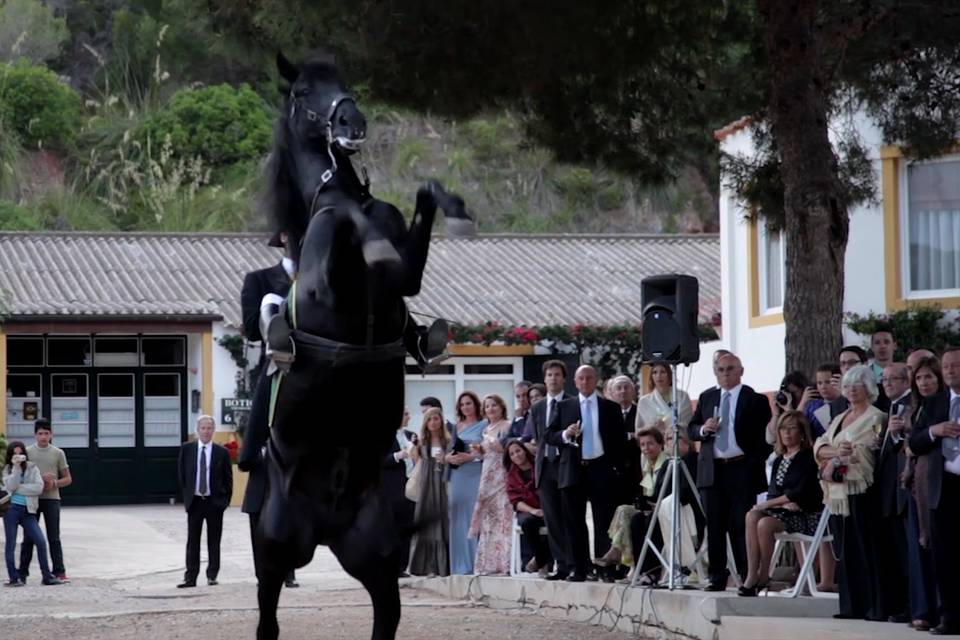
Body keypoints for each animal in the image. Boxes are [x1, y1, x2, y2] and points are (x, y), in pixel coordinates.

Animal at [251, 52, 464, 636]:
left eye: (344, 83)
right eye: (303, 91)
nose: (352, 122)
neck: (340, 193)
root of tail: (325, 527)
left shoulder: (404, 271)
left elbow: (424, 198)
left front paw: (454, 204)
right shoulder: (331, 284)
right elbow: (348, 229)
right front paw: (369, 241)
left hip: (375, 559)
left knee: (383, 617)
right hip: (275, 549)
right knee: (268, 616)